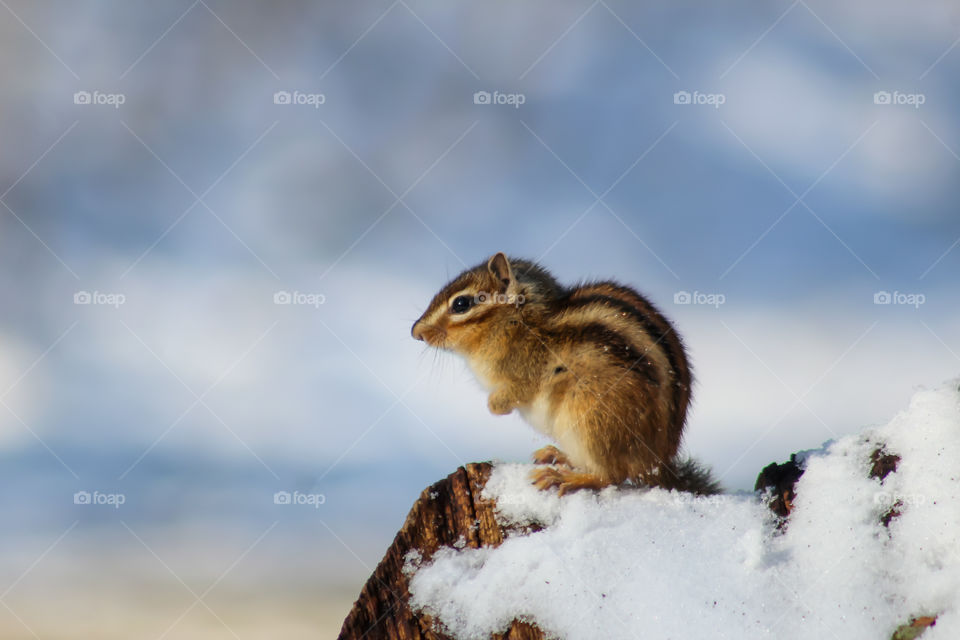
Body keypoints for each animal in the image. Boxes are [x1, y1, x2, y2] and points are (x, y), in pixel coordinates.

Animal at [411, 252, 720, 496]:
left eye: (461, 304)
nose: (416, 332)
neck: (516, 321)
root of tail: (659, 462)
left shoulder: (527, 373)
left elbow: (514, 394)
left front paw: (495, 406)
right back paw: (557, 455)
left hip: (592, 420)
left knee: (611, 476)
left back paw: (565, 478)